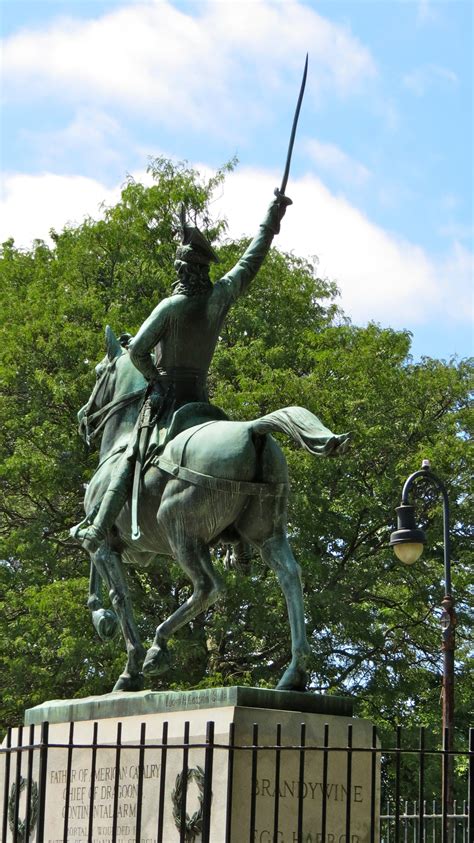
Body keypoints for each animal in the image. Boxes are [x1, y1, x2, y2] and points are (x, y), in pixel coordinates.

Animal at [76, 328, 346, 692]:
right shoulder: (116, 543)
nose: (83, 417)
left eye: (98, 373)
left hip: (180, 532)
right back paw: (294, 673)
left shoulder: (106, 540)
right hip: (267, 533)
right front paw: (101, 619)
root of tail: (252, 429)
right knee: (290, 575)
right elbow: (95, 569)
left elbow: (118, 594)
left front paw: (127, 666)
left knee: (208, 587)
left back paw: (157, 649)